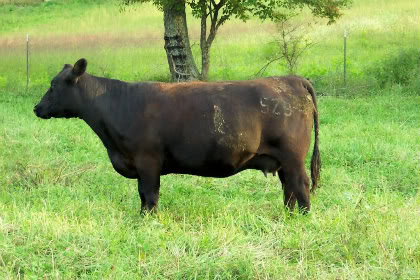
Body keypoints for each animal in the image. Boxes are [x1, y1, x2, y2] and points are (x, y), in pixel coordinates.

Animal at [33, 58, 322, 212]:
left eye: (53, 85)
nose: (36, 108)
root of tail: (291, 79)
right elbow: (143, 195)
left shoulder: (147, 161)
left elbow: (149, 195)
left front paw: (147, 221)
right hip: (282, 161)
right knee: (289, 189)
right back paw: (288, 216)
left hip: (293, 156)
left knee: (300, 185)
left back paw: (302, 218)